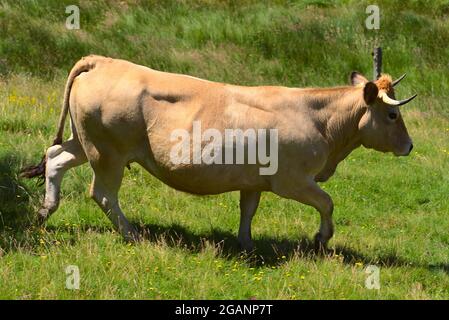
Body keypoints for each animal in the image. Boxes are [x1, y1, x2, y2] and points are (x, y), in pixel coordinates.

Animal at [20, 54, 412, 250]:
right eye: (393, 114)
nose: (409, 145)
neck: (319, 119)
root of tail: (103, 61)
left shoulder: (255, 181)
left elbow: (248, 210)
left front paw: (246, 243)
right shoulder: (292, 181)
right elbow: (327, 203)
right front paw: (321, 238)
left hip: (85, 143)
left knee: (55, 158)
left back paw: (44, 211)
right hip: (108, 154)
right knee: (102, 193)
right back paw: (132, 234)